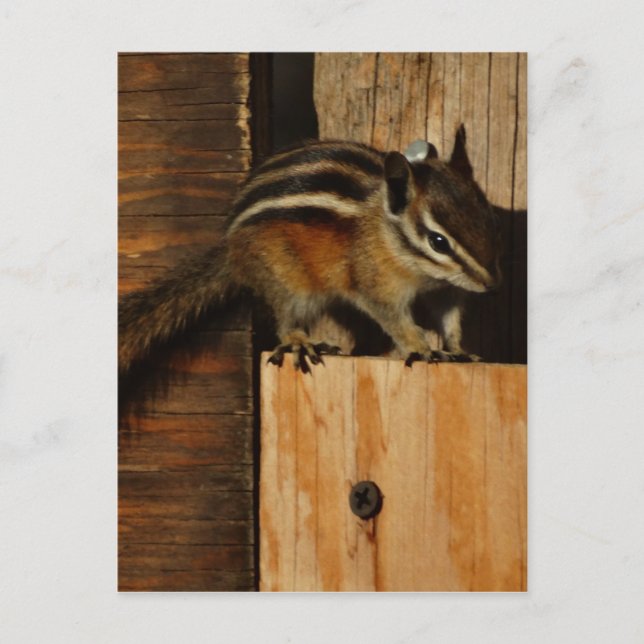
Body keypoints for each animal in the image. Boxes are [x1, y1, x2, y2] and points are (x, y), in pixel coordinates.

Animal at [119, 125, 501, 373]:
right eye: (438, 241)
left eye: (487, 217)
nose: (491, 285)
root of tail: (230, 251)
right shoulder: (375, 284)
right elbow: (395, 319)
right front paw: (420, 348)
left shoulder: (445, 289)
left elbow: (449, 318)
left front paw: (457, 349)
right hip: (286, 280)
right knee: (286, 316)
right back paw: (300, 341)